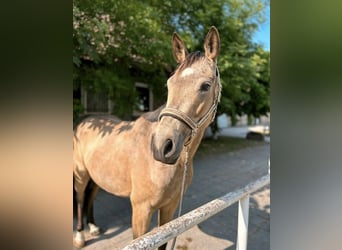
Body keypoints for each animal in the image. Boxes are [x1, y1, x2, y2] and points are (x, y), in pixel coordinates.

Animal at [73, 26, 222, 249]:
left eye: (206, 85)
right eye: (169, 84)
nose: (162, 146)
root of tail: (86, 122)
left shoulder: (169, 208)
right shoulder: (141, 211)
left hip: (97, 176)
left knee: (90, 198)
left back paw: (93, 227)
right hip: (81, 174)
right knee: (81, 199)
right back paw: (80, 236)